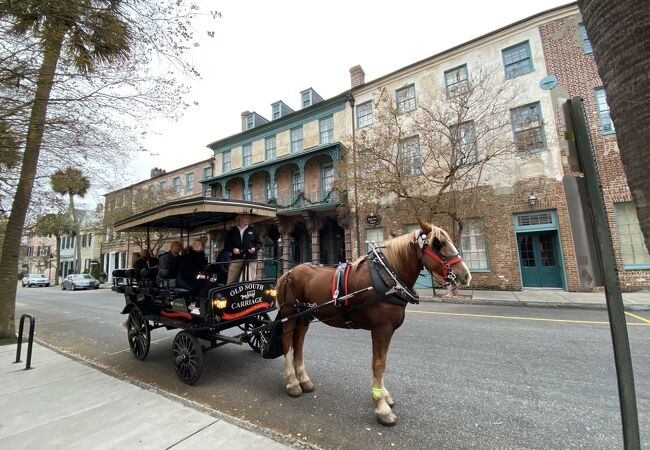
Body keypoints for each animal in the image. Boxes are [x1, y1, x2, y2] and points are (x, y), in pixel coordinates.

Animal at [274, 218, 470, 426]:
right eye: (438, 244)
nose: (465, 275)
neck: (388, 279)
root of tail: (287, 273)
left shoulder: (386, 330)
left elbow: (382, 362)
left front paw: (384, 396)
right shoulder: (381, 329)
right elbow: (378, 364)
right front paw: (381, 407)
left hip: (304, 317)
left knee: (298, 345)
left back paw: (303, 380)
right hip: (290, 314)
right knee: (286, 344)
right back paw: (292, 382)